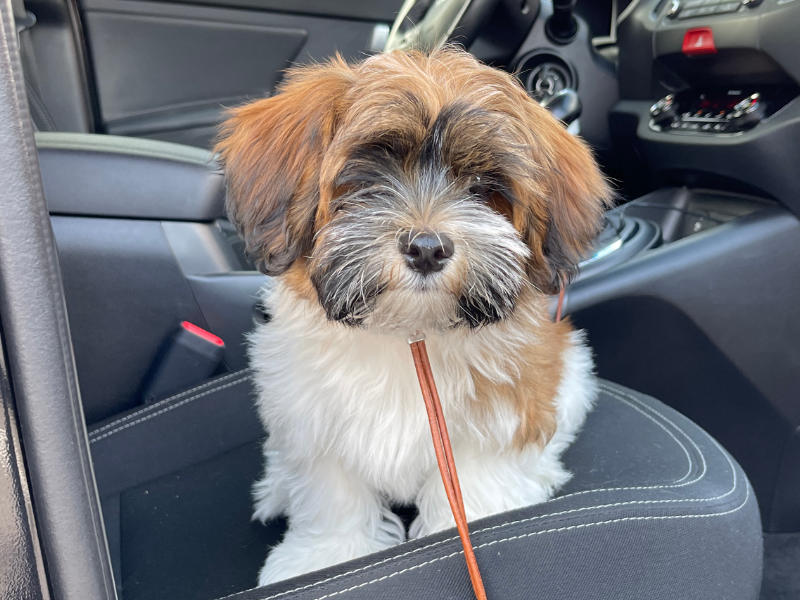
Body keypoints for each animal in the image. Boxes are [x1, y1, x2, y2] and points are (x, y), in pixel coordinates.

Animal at [216, 48, 608, 584]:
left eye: (483, 187)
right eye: (369, 177)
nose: (427, 247)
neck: (407, 333)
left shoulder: (500, 414)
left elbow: (476, 486)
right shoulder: (311, 414)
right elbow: (332, 492)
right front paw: (327, 552)